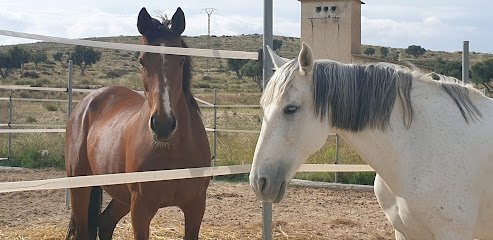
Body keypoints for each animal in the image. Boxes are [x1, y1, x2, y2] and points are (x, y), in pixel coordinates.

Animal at [64, 6, 210, 239]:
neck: (173, 151)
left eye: (181, 60)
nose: (163, 124)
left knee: (105, 223)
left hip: (121, 196)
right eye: (142, 60)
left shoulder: (196, 206)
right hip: (80, 187)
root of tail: (86, 103)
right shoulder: (141, 209)